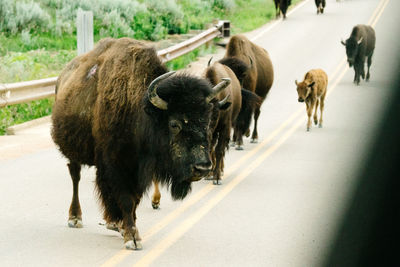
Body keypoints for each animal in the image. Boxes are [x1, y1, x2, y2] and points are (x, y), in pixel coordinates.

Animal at [51, 38, 230, 251]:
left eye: (208, 120)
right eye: (174, 123)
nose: (202, 168)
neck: (141, 111)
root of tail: (62, 78)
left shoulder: (138, 171)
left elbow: (133, 200)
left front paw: (128, 229)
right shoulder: (117, 167)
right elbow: (126, 200)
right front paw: (132, 239)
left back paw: (112, 223)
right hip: (73, 153)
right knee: (75, 177)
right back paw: (75, 218)